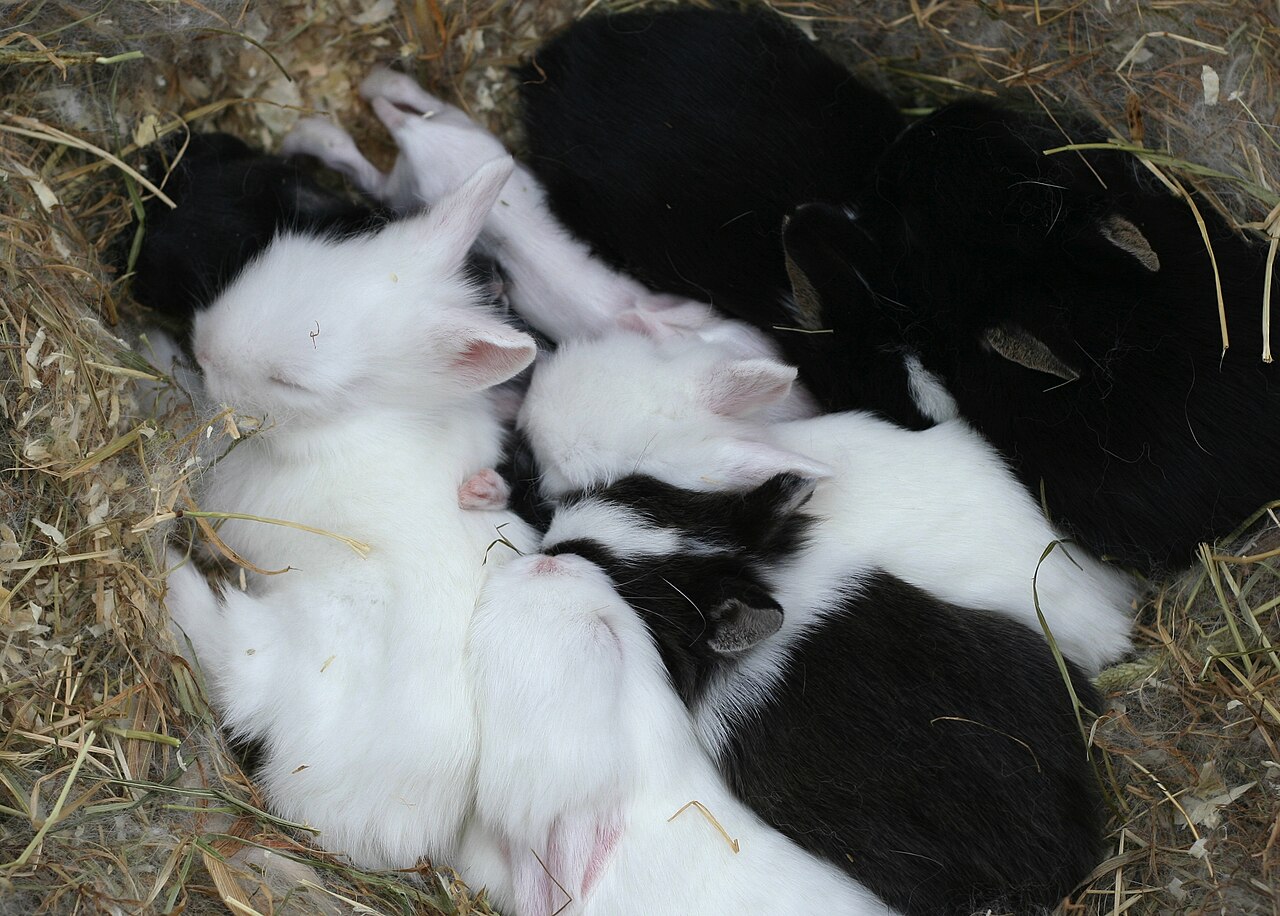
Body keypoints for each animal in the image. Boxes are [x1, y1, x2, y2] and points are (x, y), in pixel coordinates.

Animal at [162, 156, 541, 871]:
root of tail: (381, 825)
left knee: (230, 664)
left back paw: (172, 574)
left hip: (293, 635)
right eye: (288, 251)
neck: (354, 424)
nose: (203, 346)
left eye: (292, 381)